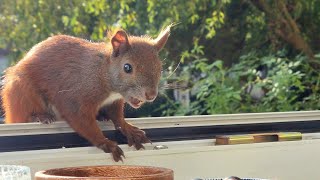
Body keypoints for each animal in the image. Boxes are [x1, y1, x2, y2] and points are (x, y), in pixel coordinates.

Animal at [1, 24, 171, 161]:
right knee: (24, 114)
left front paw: (128, 129)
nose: (151, 95)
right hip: (22, 92)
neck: (102, 72)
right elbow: (82, 121)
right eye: (127, 67)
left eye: (160, 67)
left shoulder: (114, 102)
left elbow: (117, 117)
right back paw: (40, 116)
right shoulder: (76, 95)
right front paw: (105, 143)